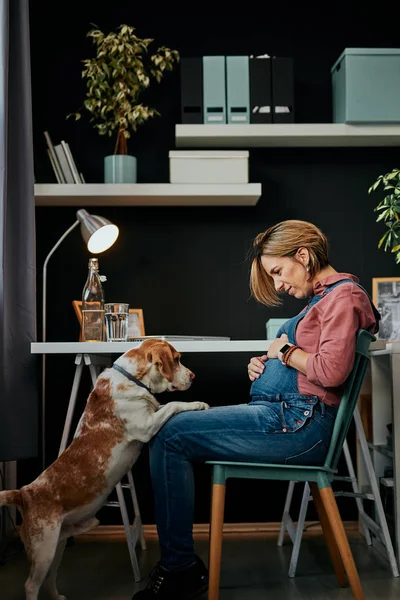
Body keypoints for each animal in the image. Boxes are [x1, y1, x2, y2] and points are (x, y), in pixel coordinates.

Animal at [0, 340, 209, 596]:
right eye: (177, 359)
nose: (193, 376)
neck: (133, 378)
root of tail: (22, 494)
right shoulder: (147, 426)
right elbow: (173, 404)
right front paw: (197, 403)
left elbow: (166, 404)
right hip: (43, 552)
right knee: (31, 585)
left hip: (57, 547)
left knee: (50, 577)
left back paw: (58, 597)